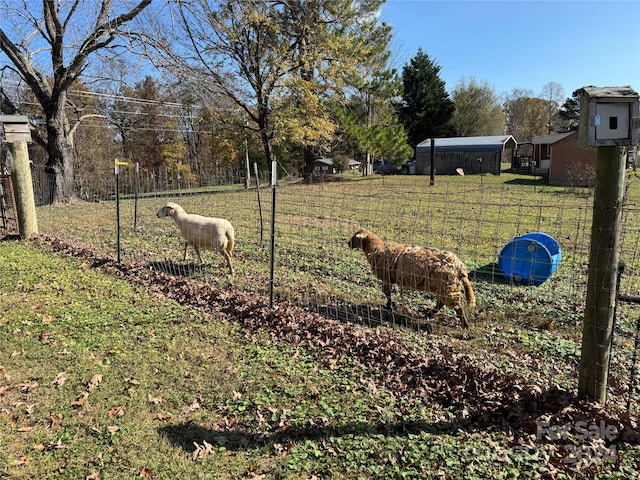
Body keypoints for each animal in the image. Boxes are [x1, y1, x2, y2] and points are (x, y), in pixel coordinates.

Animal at [344, 228, 476, 326]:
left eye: (355, 238)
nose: (348, 244)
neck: (376, 249)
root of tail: (460, 267)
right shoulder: (389, 278)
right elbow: (387, 293)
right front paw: (390, 306)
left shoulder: (387, 277)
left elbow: (386, 292)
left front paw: (390, 306)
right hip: (443, 285)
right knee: (441, 303)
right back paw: (428, 314)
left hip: (447, 285)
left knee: (456, 306)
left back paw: (465, 326)